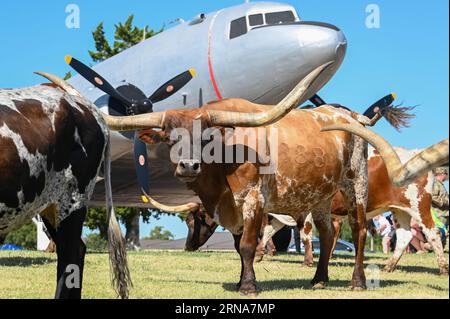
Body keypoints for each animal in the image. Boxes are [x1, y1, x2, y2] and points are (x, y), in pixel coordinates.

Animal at [103, 64, 378, 296]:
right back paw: (319, 279)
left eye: (205, 138)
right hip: (322, 196)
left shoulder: (253, 200)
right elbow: (238, 247)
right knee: (327, 233)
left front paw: (248, 286)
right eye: (170, 138)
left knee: (359, 231)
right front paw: (240, 281)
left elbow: (247, 245)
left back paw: (358, 281)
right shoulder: (232, 208)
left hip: (357, 184)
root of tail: (350, 115)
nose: (189, 166)